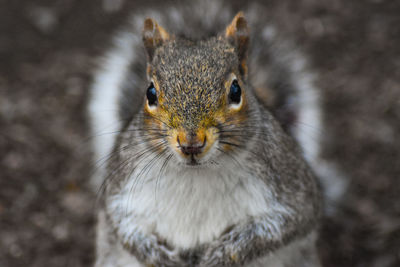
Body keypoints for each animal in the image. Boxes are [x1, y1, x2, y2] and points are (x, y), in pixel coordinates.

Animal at [88, 1, 346, 266]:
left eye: (236, 90)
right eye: (150, 93)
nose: (191, 143)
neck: (197, 175)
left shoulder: (290, 187)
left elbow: (280, 226)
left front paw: (220, 255)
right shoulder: (120, 190)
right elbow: (124, 228)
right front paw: (161, 258)